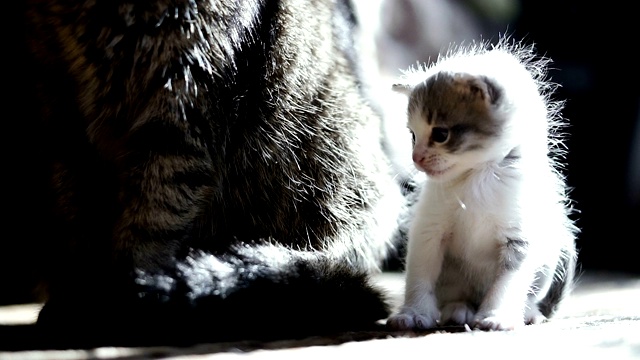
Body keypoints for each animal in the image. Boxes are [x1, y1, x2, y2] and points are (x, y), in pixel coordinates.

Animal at [384, 38, 580, 330]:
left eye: (441, 134)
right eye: (413, 136)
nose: (416, 158)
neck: (477, 177)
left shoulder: (520, 238)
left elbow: (509, 282)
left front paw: (496, 316)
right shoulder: (428, 229)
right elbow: (419, 275)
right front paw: (413, 312)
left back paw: (528, 312)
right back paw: (459, 308)